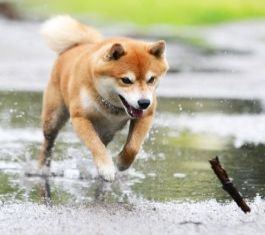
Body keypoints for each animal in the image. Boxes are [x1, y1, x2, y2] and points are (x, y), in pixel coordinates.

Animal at [38, 16, 168, 182]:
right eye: (126, 80)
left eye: (151, 79)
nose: (144, 103)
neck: (109, 105)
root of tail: (77, 45)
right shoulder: (80, 118)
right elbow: (95, 145)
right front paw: (106, 168)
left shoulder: (146, 116)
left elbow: (133, 147)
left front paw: (121, 163)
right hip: (53, 119)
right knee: (48, 144)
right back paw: (42, 169)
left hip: (107, 132)